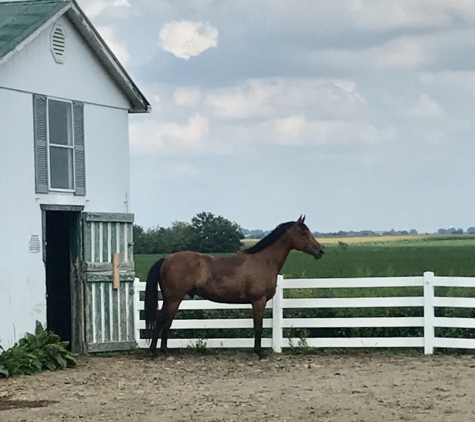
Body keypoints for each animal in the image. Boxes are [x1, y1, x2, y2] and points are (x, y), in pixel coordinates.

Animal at [143, 216, 326, 358]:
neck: (264, 260)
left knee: (163, 321)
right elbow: (258, 326)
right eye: (304, 232)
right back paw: (158, 352)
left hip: (170, 300)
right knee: (163, 322)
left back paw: (161, 351)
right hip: (174, 299)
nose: (321, 250)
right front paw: (259, 352)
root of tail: (167, 259)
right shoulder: (258, 301)